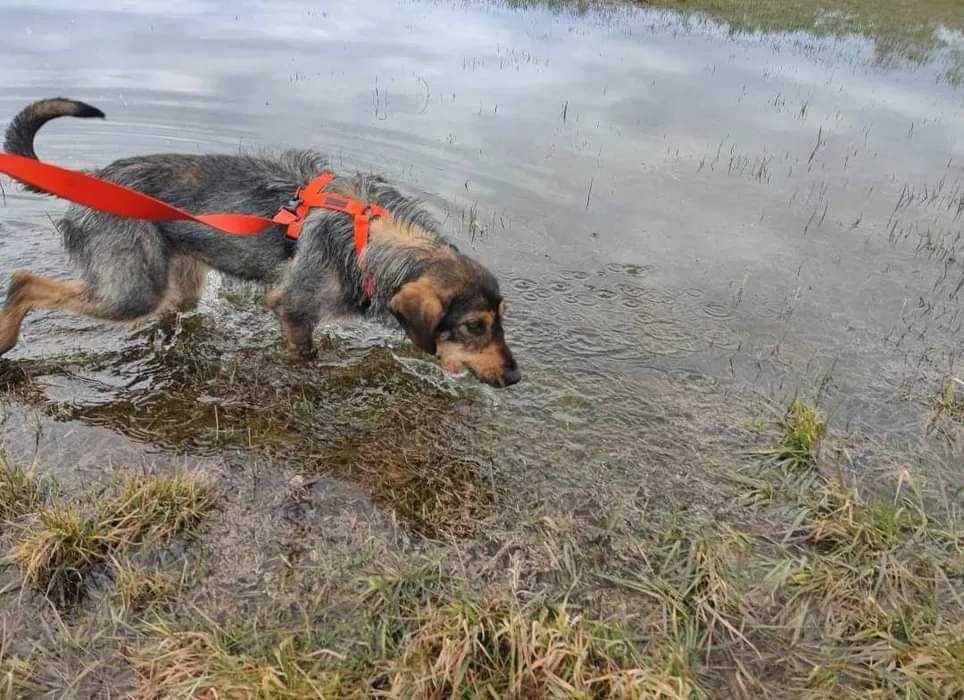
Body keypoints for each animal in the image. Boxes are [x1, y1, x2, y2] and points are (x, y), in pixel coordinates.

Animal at [0, 97, 520, 388]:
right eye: (474, 326)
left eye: (500, 320)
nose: (516, 377)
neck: (367, 235)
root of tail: (91, 178)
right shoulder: (293, 309)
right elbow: (306, 354)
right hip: (132, 289)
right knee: (23, 280)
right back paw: (6, 337)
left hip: (178, 279)